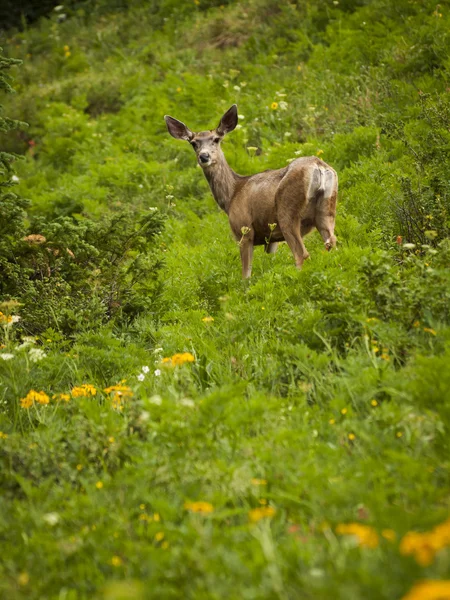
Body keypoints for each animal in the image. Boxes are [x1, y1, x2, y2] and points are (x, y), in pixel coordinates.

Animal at [163, 104, 336, 278]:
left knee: (301, 254)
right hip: (326, 208)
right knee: (332, 243)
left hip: (287, 211)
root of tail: (319, 166)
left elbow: (246, 275)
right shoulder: (271, 238)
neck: (232, 194)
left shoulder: (244, 230)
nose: (204, 156)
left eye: (216, 139)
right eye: (193, 143)